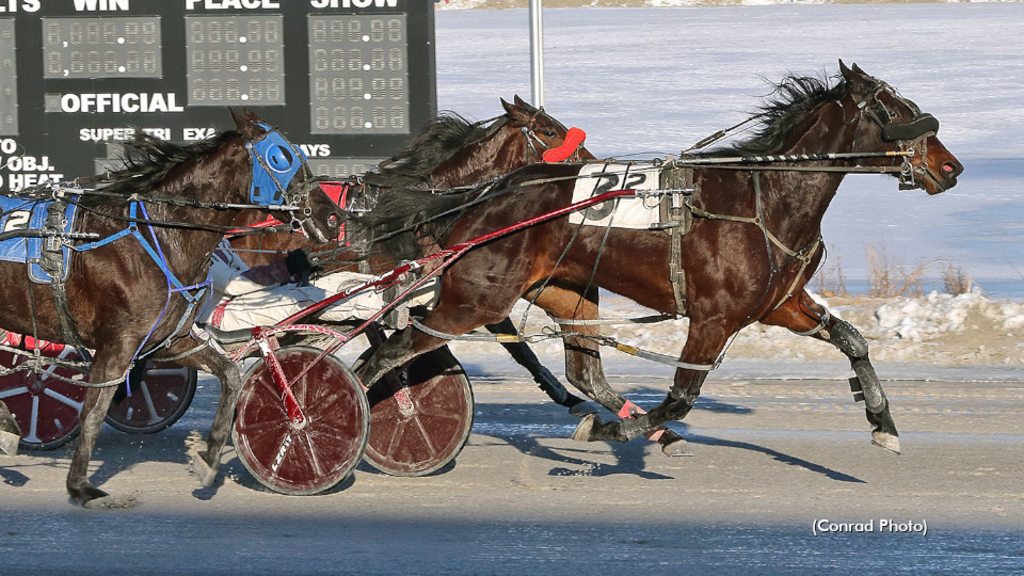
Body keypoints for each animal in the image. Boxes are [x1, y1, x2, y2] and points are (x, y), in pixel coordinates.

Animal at [0, 109, 344, 504]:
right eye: (281, 157)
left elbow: (230, 375)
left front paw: (208, 459)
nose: (333, 217)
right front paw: (80, 485)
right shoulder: (119, 343)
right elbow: (93, 411)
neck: (158, 236)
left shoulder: (168, 339)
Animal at [350, 61, 958, 457]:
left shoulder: (779, 304)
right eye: (895, 109)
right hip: (474, 299)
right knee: (388, 353)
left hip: (566, 293)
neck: (765, 197)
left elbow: (853, 340)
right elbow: (681, 398)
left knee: (581, 371)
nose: (951, 167)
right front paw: (618, 431)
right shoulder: (713, 318)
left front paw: (883, 420)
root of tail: (482, 197)